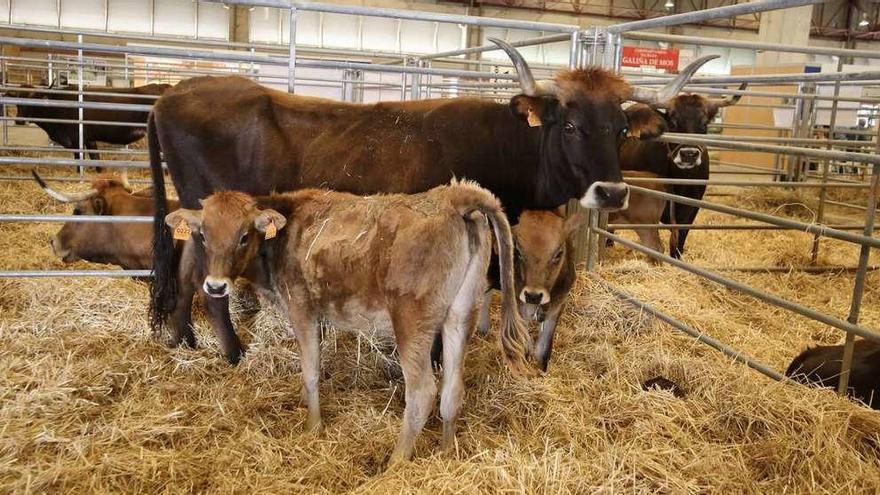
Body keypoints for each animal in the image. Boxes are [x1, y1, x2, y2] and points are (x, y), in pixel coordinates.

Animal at [144, 37, 720, 364]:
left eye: (621, 128)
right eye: (572, 125)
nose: (613, 191)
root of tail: (172, 93)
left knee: (189, 269)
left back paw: (186, 340)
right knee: (204, 277)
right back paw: (233, 352)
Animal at [167, 181, 536, 464]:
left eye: (244, 236)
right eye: (202, 235)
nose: (216, 286)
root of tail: (453, 195)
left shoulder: (301, 307)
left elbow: (311, 372)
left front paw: (313, 427)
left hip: (412, 321)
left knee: (422, 392)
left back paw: (395, 462)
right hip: (461, 314)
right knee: (452, 388)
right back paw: (446, 453)